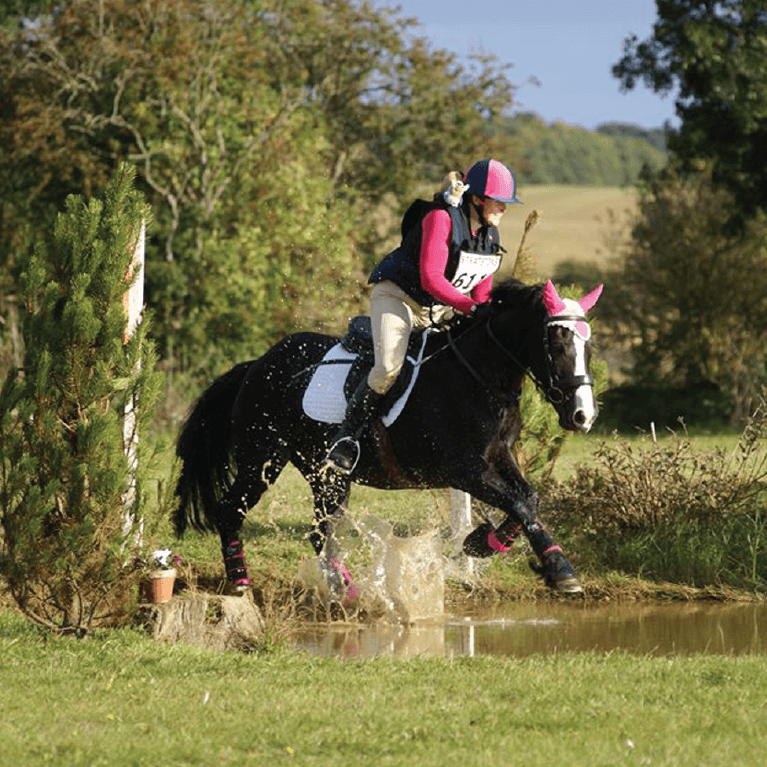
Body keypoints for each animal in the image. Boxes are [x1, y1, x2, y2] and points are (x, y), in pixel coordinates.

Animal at [176, 280, 608, 596]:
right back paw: (239, 581)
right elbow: (518, 503)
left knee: (321, 530)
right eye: (557, 345)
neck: (479, 377)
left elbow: (528, 500)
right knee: (231, 510)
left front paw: (485, 543)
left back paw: (344, 591)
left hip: (325, 475)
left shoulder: (498, 456)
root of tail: (255, 366)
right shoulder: (464, 470)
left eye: (588, 346)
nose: (583, 416)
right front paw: (558, 570)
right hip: (262, 459)